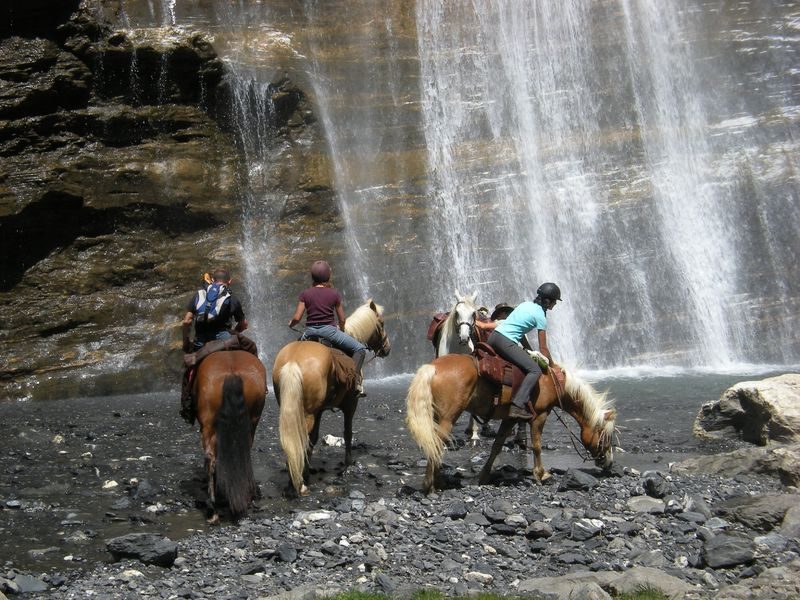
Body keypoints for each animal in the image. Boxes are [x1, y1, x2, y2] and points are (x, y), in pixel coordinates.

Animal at [272, 300, 390, 496]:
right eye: (380, 323)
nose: (387, 348)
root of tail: (293, 361)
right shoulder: (351, 404)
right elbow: (348, 433)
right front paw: (348, 464)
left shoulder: (319, 410)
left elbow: (314, 439)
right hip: (308, 413)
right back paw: (299, 484)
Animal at [406, 352, 620, 492]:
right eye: (606, 436)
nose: (609, 463)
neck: (552, 383)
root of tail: (433, 367)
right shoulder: (540, 415)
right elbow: (536, 446)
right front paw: (541, 475)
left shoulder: (510, 418)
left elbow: (497, 446)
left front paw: (484, 477)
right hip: (448, 417)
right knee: (435, 444)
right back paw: (430, 485)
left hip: (437, 417)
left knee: (433, 444)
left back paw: (437, 482)